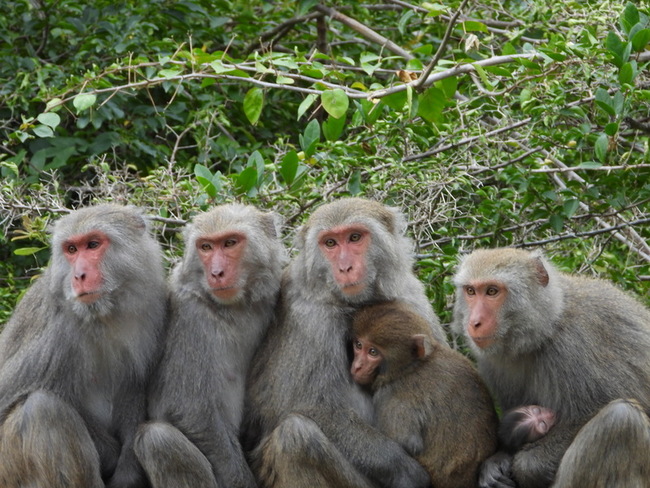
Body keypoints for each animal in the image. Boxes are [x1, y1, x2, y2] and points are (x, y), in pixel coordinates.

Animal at [0, 205, 168, 488]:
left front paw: (128, 472)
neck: (103, 317)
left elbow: (132, 387)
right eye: (71, 249)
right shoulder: (57, 335)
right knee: (43, 410)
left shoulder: (152, 313)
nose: (79, 275)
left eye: (92, 244)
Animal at [135, 203, 284, 488]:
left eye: (230, 243)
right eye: (205, 247)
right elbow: (191, 411)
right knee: (158, 440)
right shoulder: (191, 317)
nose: (216, 273)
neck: (233, 308)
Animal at [243, 198, 446, 488]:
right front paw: (406, 472)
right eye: (330, 243)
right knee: (295, 437)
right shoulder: (311, 318)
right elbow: (308, 405)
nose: (345, 268)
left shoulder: (411, 297)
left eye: (354, 237)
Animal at [350, 302, 496, 488]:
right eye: (358, 345)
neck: (412, 366)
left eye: (373, 352)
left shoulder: (392, 395)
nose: (357, 366)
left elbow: (407, 443)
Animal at [450, 250, 650, 486]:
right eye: (471, 291)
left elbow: (585, 415)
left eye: (492, 291)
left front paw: (525, 466)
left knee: (622, 420)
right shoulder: (493, 362)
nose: (474, 322)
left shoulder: (574, 345)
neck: (547, 327)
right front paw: (496, 462)